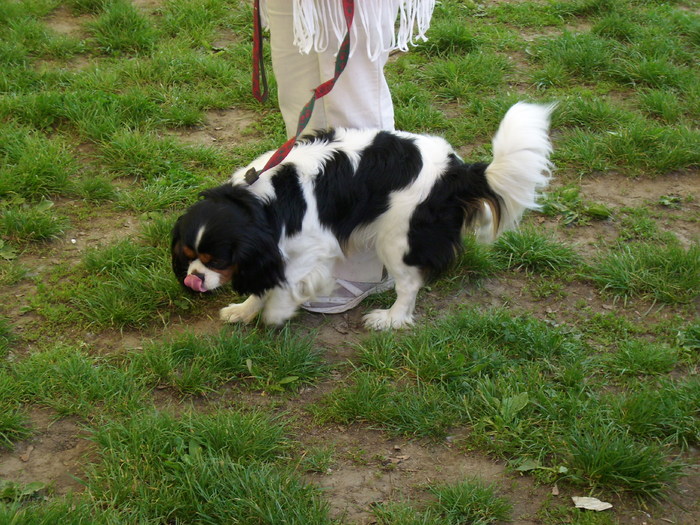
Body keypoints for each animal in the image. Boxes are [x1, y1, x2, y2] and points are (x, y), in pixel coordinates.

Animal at [170, 102, 552, 330]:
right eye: (188, 257)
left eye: (217, 261)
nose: (193, 279)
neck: (263, 201)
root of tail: (456, 170)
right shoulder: (273, 251)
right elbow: (264, 282)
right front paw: (245, 309)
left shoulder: (313, 247)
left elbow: (287, 283)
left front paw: (276, 312)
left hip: (397, 237)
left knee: (409, 283)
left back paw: (391, 319)